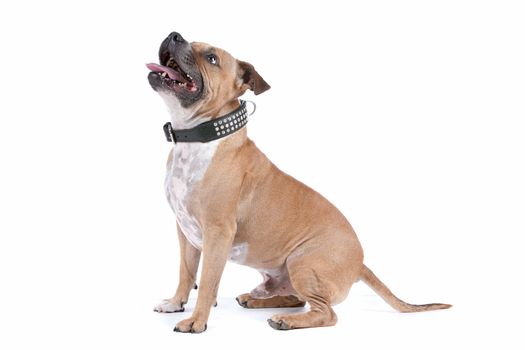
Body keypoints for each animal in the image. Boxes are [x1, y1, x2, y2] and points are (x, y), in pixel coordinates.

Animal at [145, 31, 448, 332]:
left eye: (211, 58)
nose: (174, 35)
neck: (199, 138)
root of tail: (361, 263)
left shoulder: (217, 232)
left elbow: (207, 281)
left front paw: (196, 320)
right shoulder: (185, 231)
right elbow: (186, 272)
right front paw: (175, 303)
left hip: (302, 262)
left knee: (325, 313)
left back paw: (285, 320)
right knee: (297, 299)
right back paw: (257, 301)